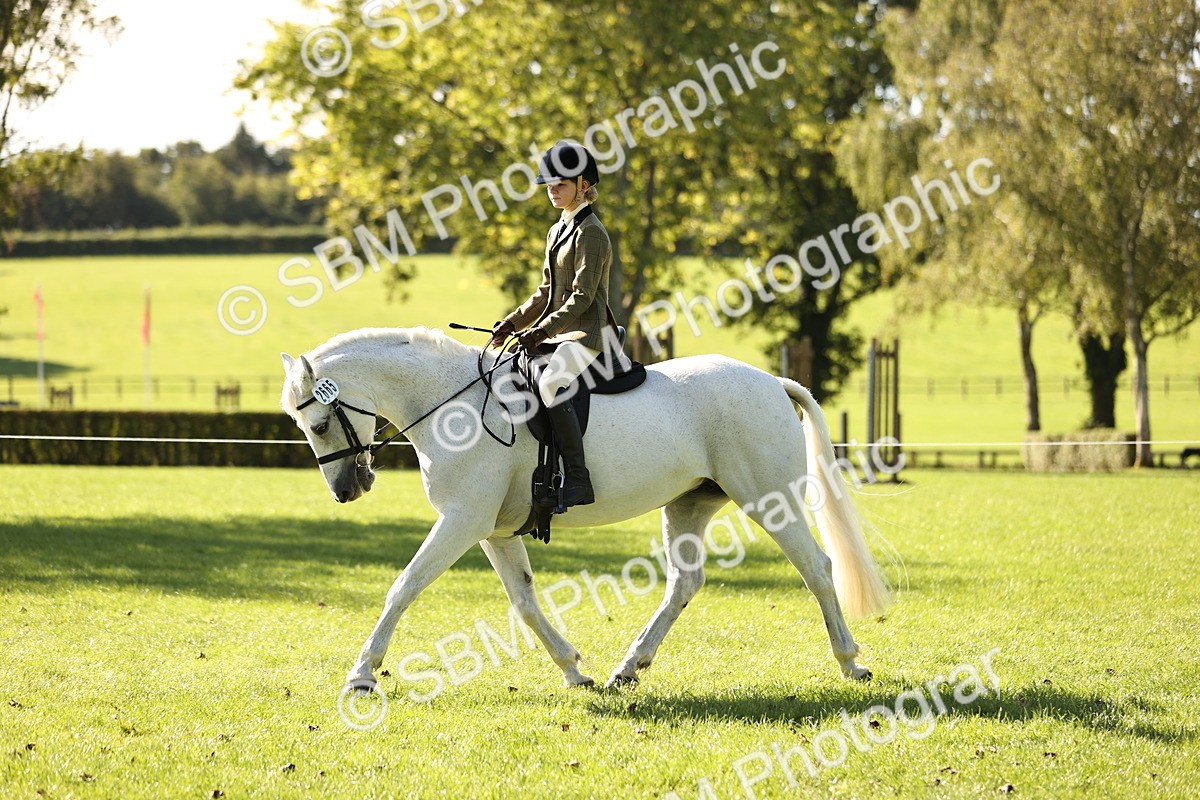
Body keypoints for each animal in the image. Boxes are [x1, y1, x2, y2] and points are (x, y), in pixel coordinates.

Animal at [280, 327, 891, 692]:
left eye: (319, 423)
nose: (346, 490)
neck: (453, 403)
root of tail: (772, 381)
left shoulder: (460, 522)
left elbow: (402, 587)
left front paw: (362, 675)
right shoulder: (493, 531)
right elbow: (525, 602)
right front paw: (574, 670)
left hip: (769, 500)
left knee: (817, 568)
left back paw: (851, 662)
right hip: (688, 506)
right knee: (685, 583)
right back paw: (629, 667)